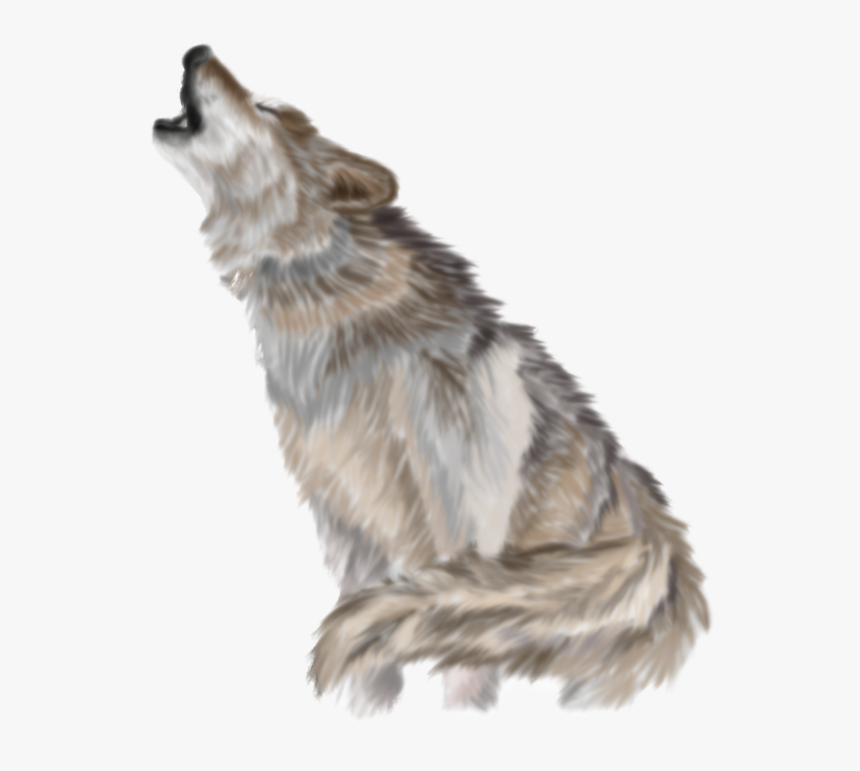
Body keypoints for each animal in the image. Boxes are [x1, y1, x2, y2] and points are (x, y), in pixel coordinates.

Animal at [153, 45, 709, 716]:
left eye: (268, 108)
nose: (197, 51)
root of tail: (662, 542)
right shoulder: (344, 526)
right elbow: (370, 653)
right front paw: (365, 711)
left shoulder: (459, 532)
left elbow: (457, 654)